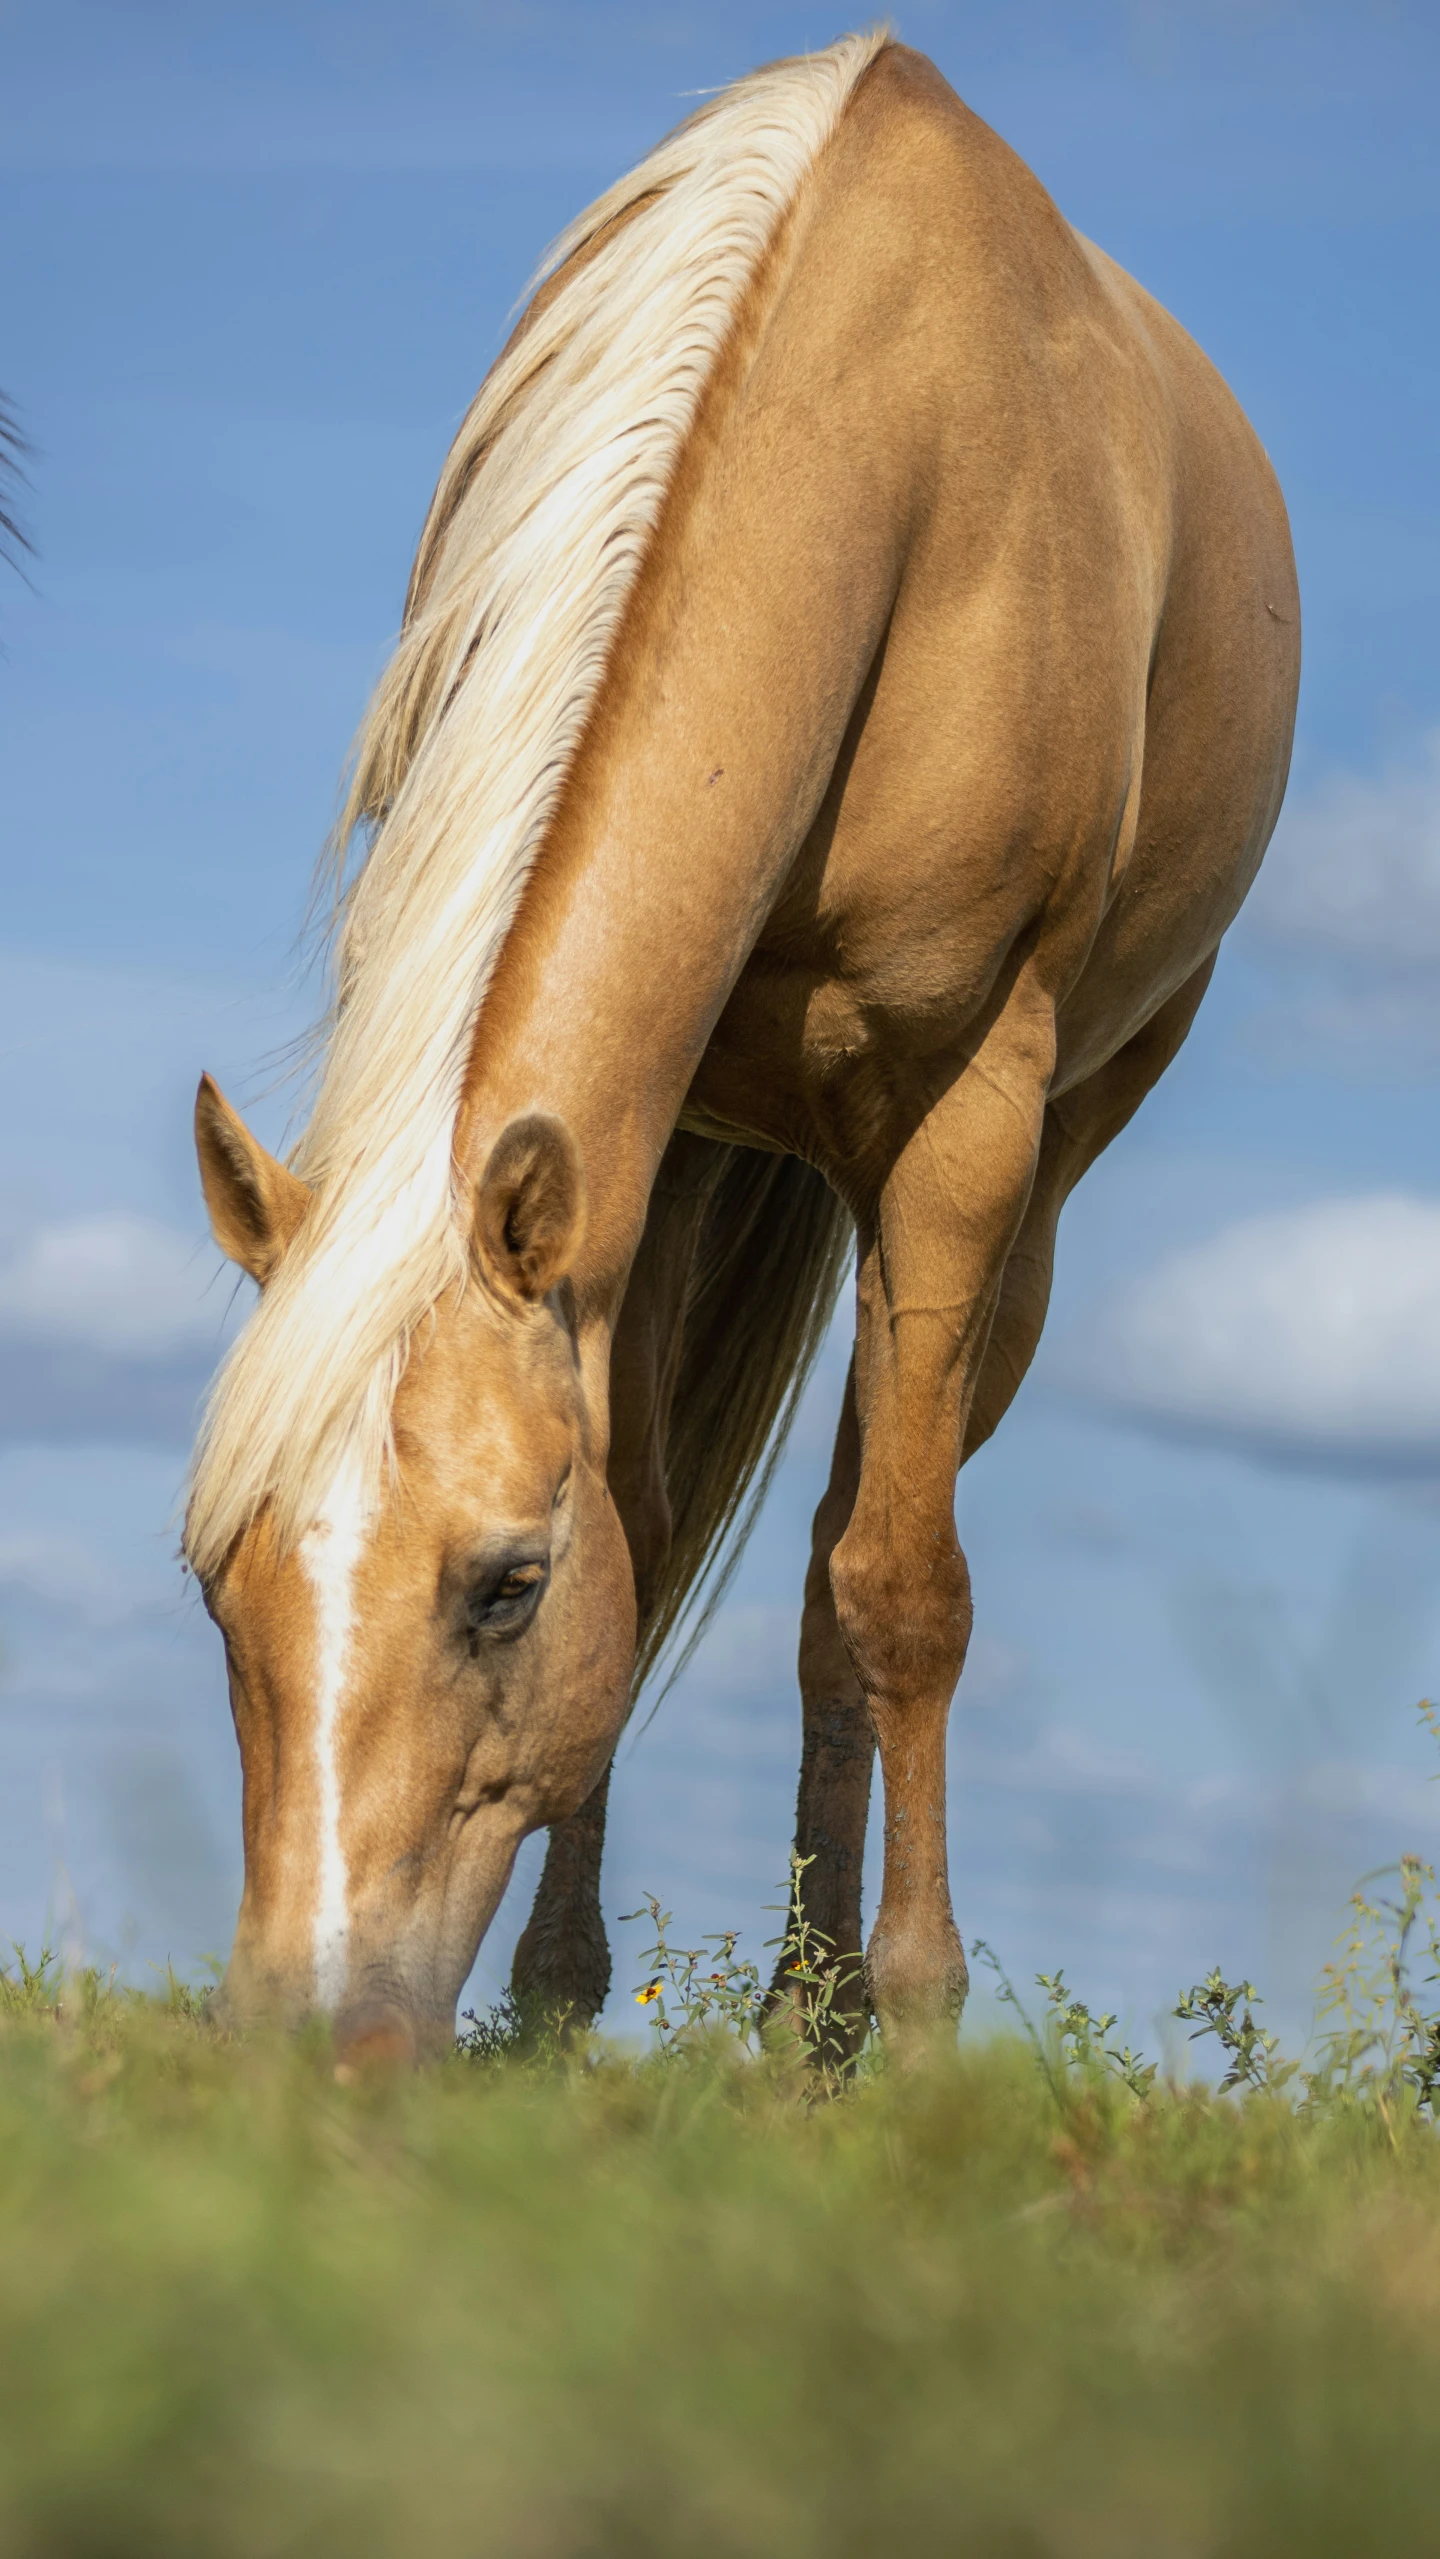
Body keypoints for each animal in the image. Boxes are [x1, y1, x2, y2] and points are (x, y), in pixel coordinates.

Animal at [185, 35, 1299, 2057]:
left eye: (503, 1585)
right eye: (221, 1580)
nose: (310, 2038)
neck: (891, 464)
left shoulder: (961, 1124)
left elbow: (901, 1585)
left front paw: (916, 2026)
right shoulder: (642, 1151)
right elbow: (651, 1521)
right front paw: (555, 2011)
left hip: (1030, 1177)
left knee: (854, 1555)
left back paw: (825, 2012)